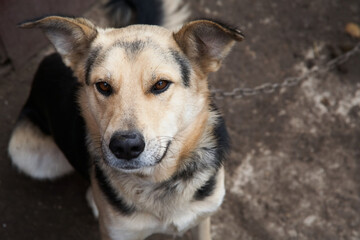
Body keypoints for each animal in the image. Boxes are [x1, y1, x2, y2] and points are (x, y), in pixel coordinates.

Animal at [8, 0, 243, 239]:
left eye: (160, 84)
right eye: (103, 85)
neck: (157, 182)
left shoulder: (203, 218)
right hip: (23, 152)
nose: (125, 147)